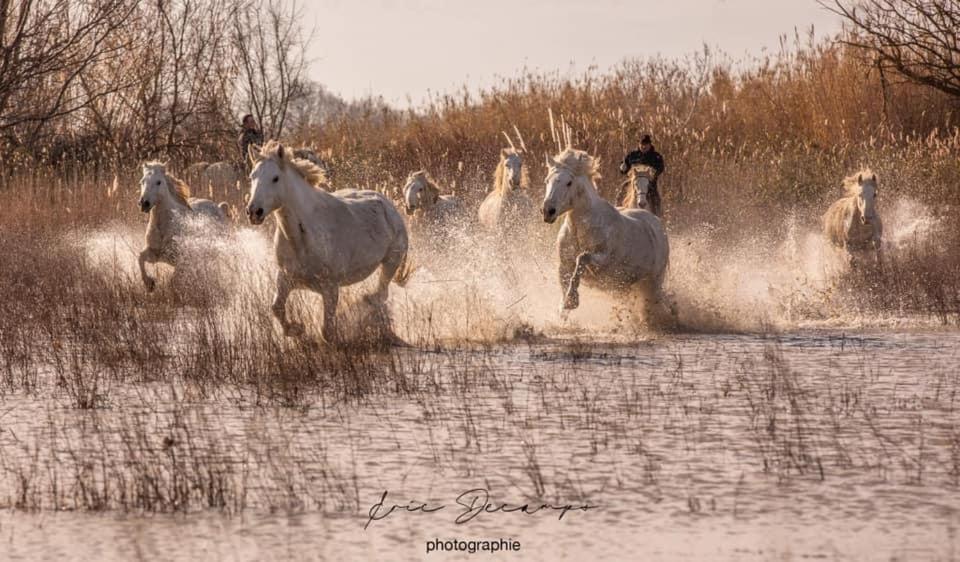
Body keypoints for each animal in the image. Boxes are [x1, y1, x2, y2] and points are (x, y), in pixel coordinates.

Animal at [138, 160, 232, 290]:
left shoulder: (181, 260)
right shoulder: (155, 254)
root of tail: (219, 207)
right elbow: (140, 258)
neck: (165, 227)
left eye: (158, 182)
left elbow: (174, 280)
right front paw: (149, 284)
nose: (144, 203)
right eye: (142, 181)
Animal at [246, 140, 410, 342]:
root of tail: (388, 204)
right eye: (252, 176)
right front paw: (297, 329)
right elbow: (276, 308)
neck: (302, 238)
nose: (254, 211)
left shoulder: (330, 287)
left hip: (391, 262)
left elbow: (327, 331)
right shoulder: (285, 278)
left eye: (275, 178)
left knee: (381, 294)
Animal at [544, 148, 672, 316]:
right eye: (547, 180)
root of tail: (657, 223)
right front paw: (565, 305)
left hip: (654, 283)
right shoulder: (564, 264)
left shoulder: (603, 260)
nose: (548, 211)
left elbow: (582, 258)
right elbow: (565, 283)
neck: (581, 230)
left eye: (569, 183)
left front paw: (572, 300)